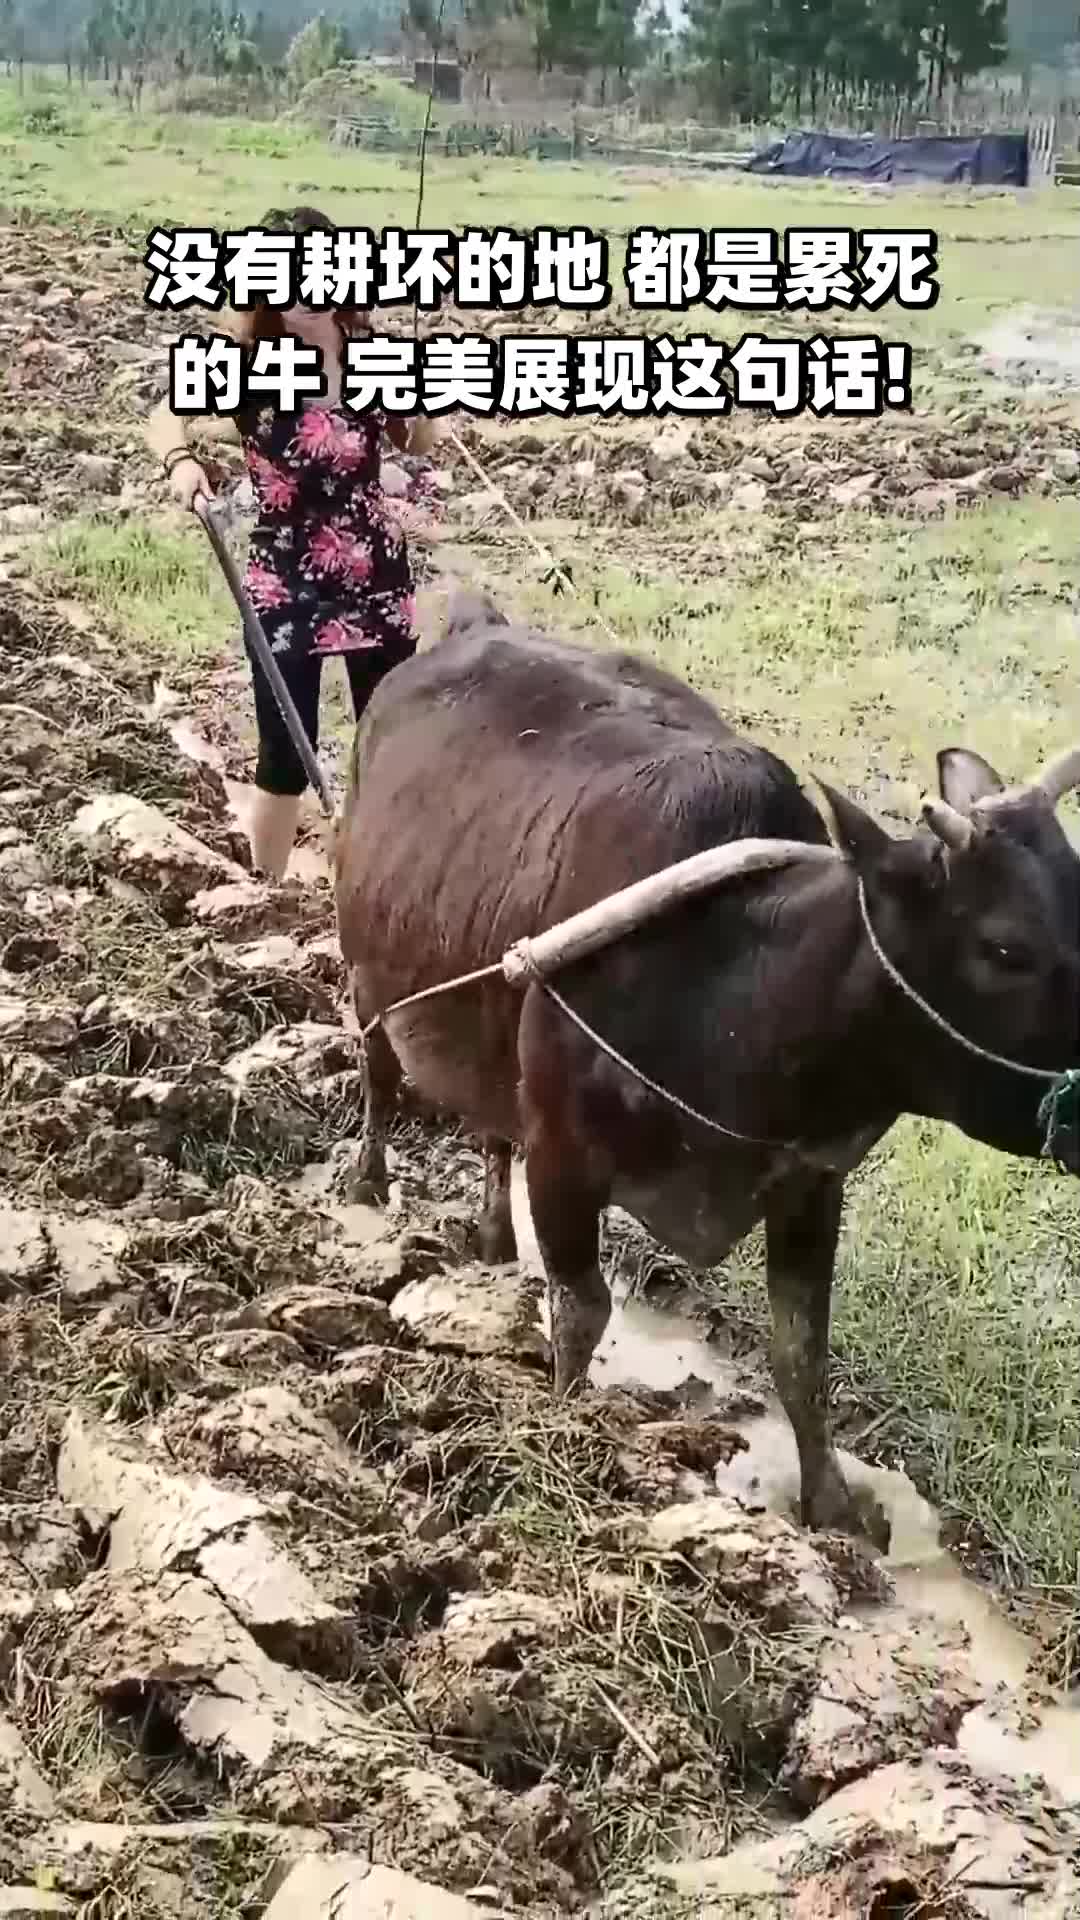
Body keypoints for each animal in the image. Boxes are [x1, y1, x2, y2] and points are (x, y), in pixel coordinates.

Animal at [332, 591, 1068, 1536]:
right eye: (1006, 948)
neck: (733, 985)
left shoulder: (810, 1183)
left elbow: (801, 1351)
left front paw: (833, 1505)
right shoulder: (564, 1156)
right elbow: (582, 1311)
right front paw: (564, 1441)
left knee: (489, 1125)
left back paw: (494, 1238)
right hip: (367, 971)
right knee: (379, 1074)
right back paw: (366, 1184)